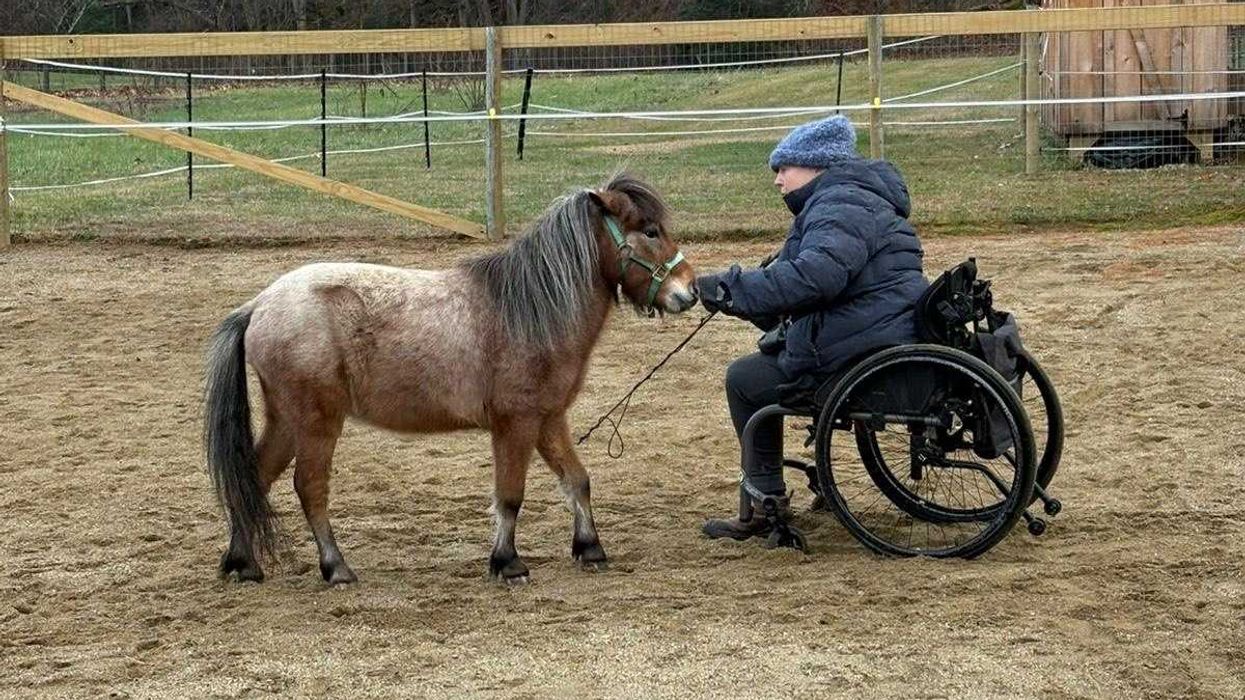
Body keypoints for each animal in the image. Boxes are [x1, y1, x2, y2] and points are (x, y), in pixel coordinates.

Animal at [203, 173, 698, 585]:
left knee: (254, 478)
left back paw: (243, 563)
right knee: (309, 488)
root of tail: (259, 305)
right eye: (650, 231)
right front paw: (508, 563)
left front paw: (589, 548)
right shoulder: (515, 424)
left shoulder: (549, 418)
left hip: (286, 420)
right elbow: (510, 494)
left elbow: (577, 480)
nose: (691, 291)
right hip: (316, 422)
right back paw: (335, 567)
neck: (528, 309)